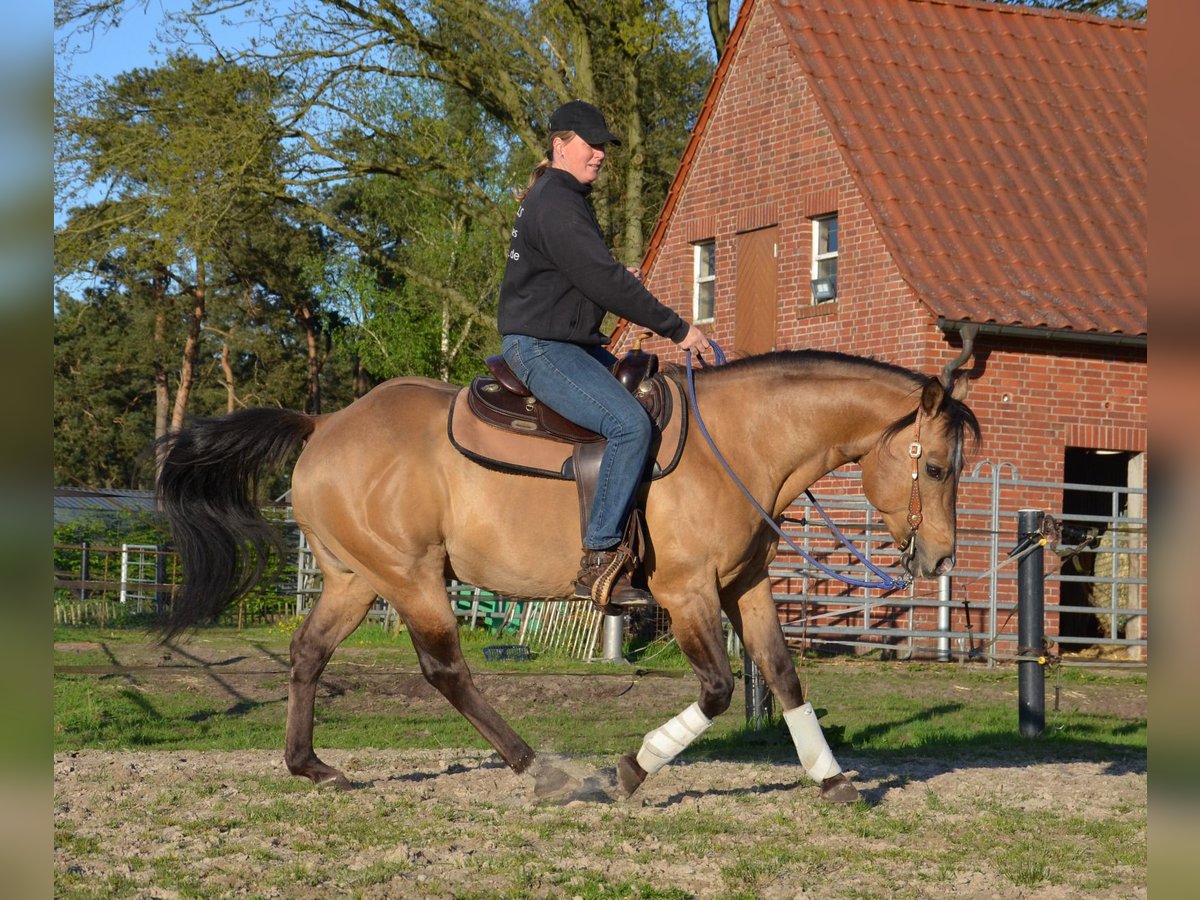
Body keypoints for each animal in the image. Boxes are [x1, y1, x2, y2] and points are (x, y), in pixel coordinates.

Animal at [156, 348, 979, 804]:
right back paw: (534, 767)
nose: (940, 558)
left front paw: (831, 778)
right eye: (937, 468)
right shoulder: (686, 593)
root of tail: (326, 424)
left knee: (308, 654)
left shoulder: (744, 588)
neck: (740, 442)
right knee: (445, 670)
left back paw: (311, 766)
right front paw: (630, 770)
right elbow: (717, 690)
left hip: (356, 580)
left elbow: (782, 675)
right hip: (412, 577)